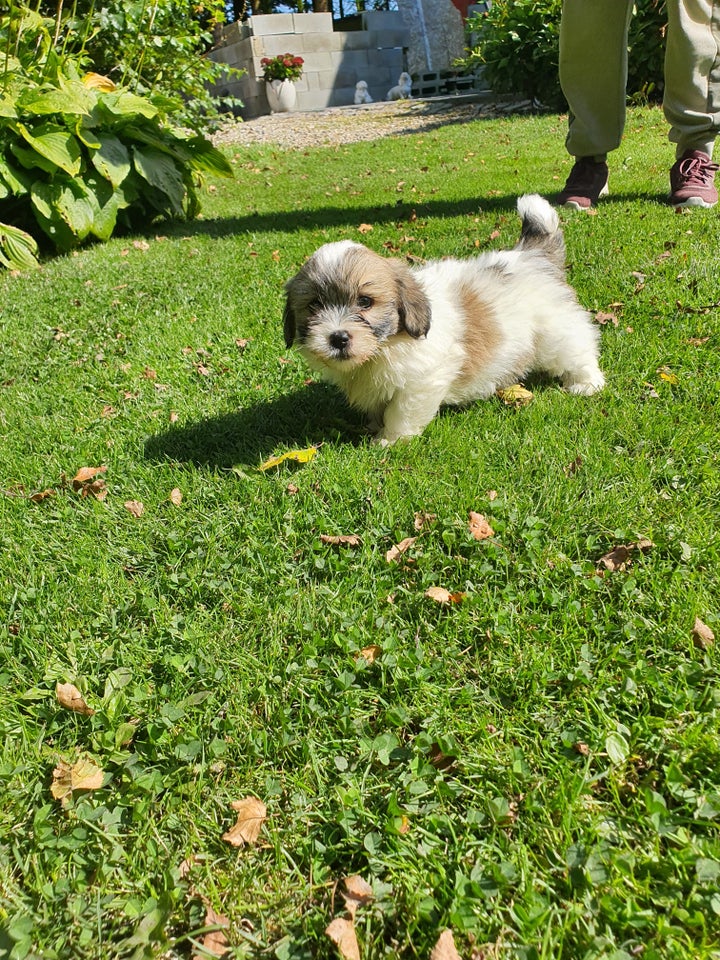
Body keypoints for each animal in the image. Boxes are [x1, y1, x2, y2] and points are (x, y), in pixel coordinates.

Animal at [284, 196, 604, 450]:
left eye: (365, 301)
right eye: (314, 305)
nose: (338, 338)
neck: (384, 347)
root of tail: (532, 255)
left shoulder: (424, 378)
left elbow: (401, 411)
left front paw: (390, 440)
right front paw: (375, 426)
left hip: (555, 331)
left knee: (578, 349)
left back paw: (587, 384)